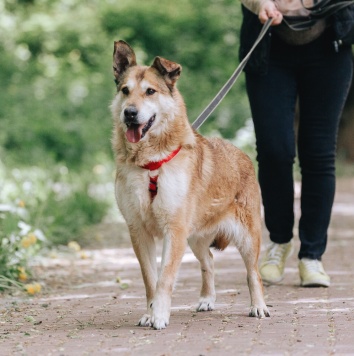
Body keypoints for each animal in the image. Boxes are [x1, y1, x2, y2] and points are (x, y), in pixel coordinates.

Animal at [112, 40, 270, 330]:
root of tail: (241, 154)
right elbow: (150, 279)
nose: (129, 113)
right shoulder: (139, 231)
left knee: (253, 272)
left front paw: (160, 316)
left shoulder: (173, 230)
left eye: (150, 91)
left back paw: (258, 306)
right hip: (195, 237)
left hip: (246, 237)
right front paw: (150, 312)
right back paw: (207, 299)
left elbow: (164, 278)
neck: (151, 163)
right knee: (208, 261)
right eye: (125, 90)